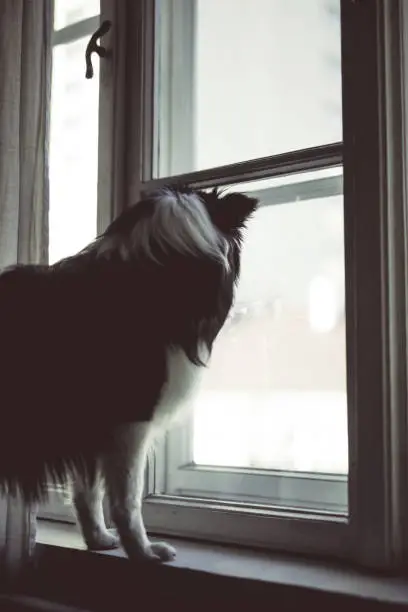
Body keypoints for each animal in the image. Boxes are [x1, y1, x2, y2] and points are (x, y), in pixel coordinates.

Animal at [0, 184, 255, 560]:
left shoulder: (91, 426)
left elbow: (87, 492)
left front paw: (98, 539)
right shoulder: (130, 423)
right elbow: (127, 499)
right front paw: (143, 551)